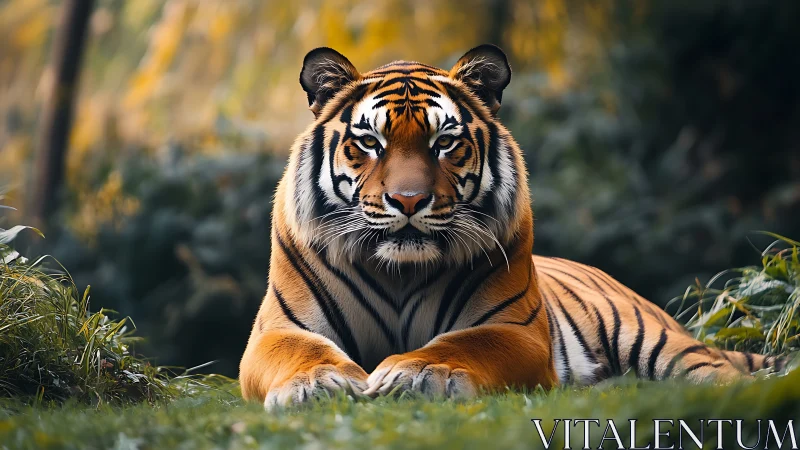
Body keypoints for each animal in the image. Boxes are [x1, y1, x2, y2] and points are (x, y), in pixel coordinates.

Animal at [239, 44, 786, 409]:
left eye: (444, 142)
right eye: (370, 142)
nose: (409, 200)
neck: (401, 273)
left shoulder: (515, 329)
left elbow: (464, 343)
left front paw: (418, 371)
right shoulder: (277, 330)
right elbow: (298, 352)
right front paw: (317, 384)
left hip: (657, 340)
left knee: (715, 372)